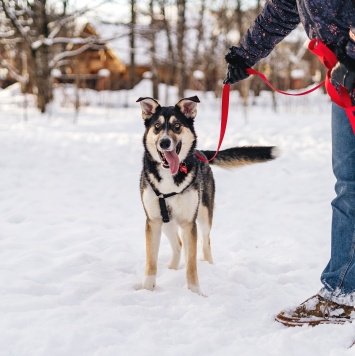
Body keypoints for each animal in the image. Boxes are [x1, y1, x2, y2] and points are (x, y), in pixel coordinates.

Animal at [138, 96, 276, 296]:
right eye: (157, 126)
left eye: (177, 125)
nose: (164, 142)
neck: (170, 176)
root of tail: (200, 152)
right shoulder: (153, 220)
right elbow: (151, 261)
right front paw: (147, 290)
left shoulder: (189, 222)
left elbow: (192, 264)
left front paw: (196, 293)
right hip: (167, 222)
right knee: (179, 245)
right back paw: (172, 269)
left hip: (203, 217)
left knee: (205, 243)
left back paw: (209, 265)